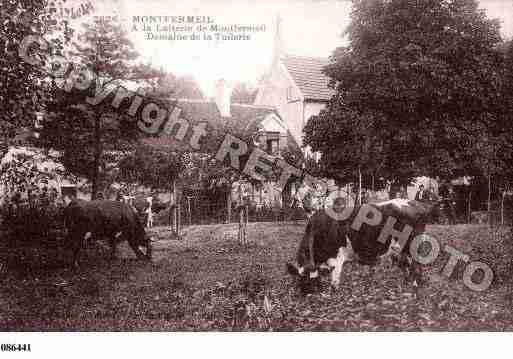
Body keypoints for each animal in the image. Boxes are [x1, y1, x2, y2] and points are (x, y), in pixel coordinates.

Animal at [286, 198, 438, 294]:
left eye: (308, 281)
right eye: (300, 279)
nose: (306, 294)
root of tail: (416, 203)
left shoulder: (337, 258)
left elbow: (334, 281)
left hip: (412, 244)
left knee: (416, 264)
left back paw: (415, 285)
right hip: (402, 249)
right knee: (406, 263)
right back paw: (407, 283)